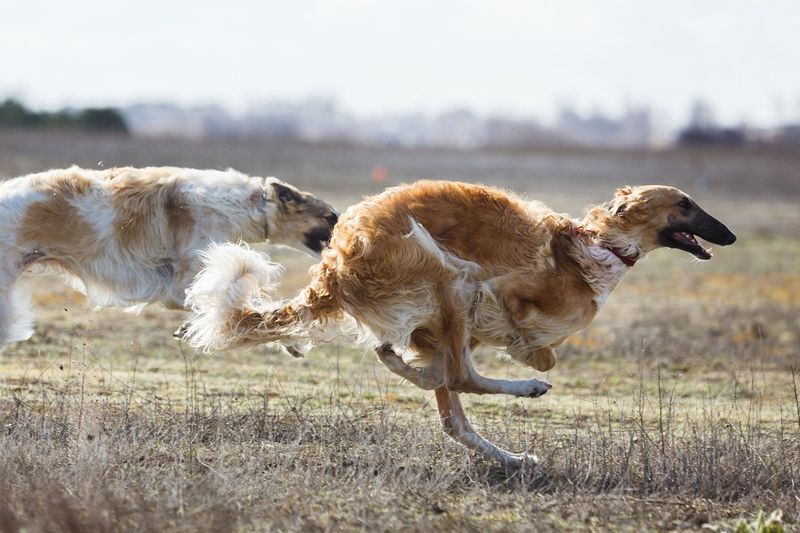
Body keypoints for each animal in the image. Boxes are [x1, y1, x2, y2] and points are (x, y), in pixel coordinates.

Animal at [184, 181, 736, 464]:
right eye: (684, 204)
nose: (729, 235)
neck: (601, 247)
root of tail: (333, 265)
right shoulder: (497, 293)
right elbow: (536, 350)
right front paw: (528, 366)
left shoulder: (459, 325)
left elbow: (530, 351)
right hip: (452, 277)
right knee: (460, 377)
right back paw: (524, 390)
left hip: (444, 299)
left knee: (449, 407)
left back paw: (509, 454)